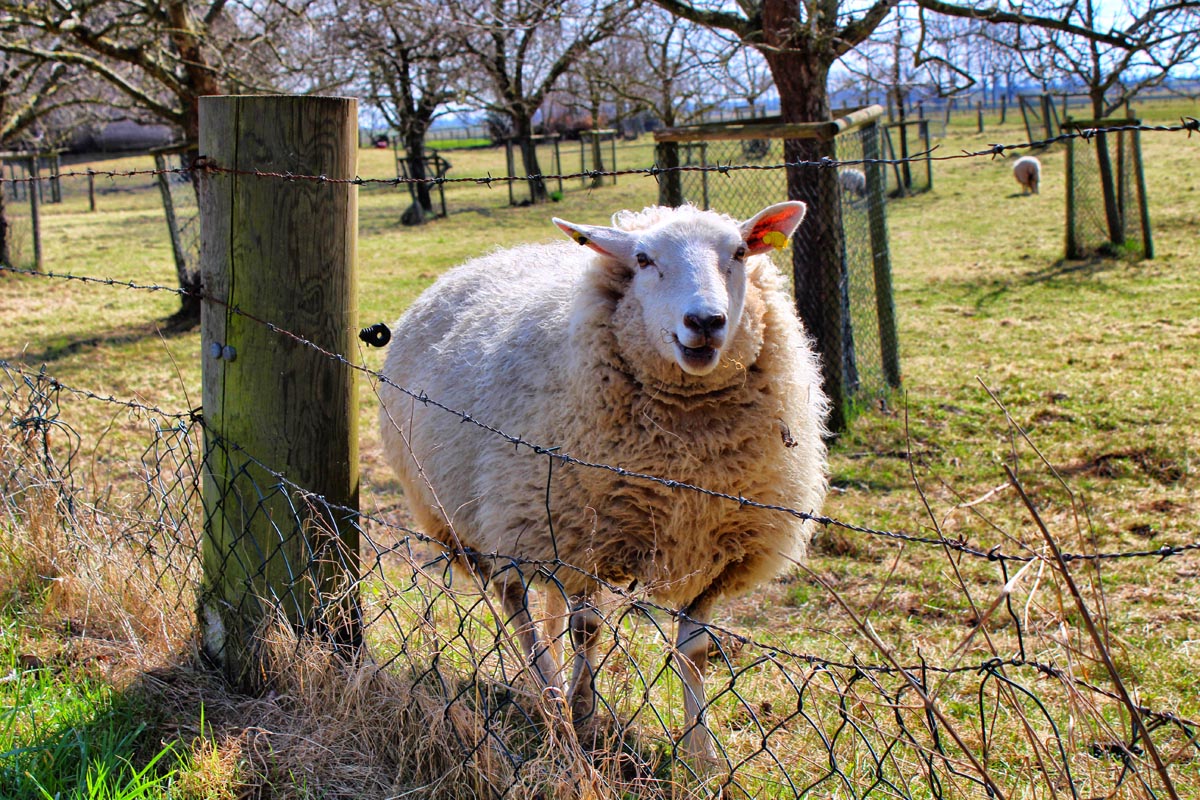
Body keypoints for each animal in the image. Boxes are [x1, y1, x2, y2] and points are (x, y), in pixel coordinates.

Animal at [379, 201, 830, 762]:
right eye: (643, 259)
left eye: (741, 253)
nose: (706, 321)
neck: (683, 458)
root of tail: (479, 261)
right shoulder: (579, 537)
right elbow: (588, 631)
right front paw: (582, 713)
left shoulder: (718, 550)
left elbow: (695, 653)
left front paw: (701, 755)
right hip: (482, 516)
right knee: (513, 599)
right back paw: (549, 693)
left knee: (541, 606)